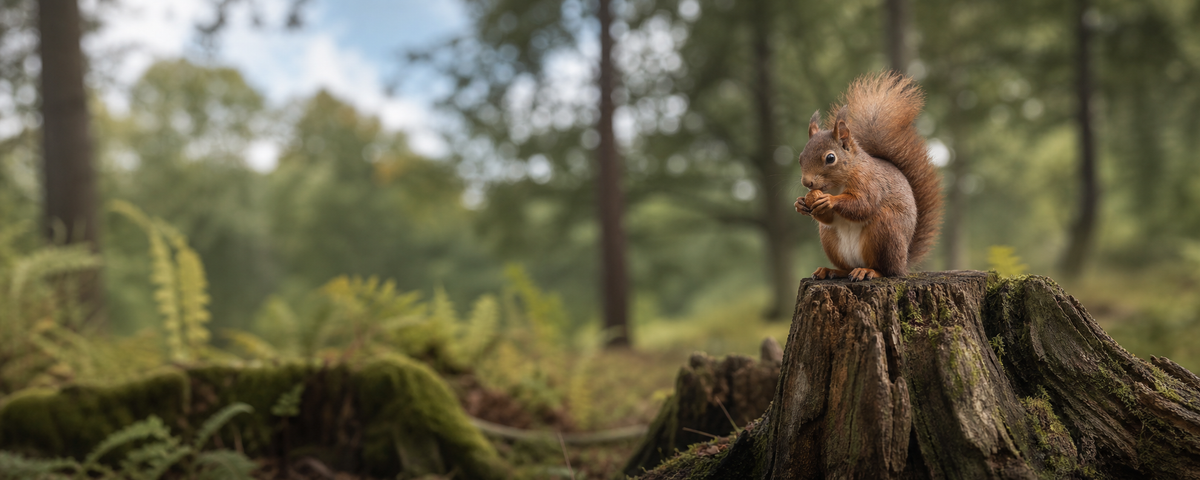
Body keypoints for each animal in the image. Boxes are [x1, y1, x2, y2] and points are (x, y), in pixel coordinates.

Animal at [794, 71, 943, 281]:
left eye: (830, 158)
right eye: (800, 158)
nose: (807, 182)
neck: (837, 184)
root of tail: (904, 262)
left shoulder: (869, 181)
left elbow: (864, 204)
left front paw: (829, 200)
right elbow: (829, 218)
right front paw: (800, 204)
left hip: (885, 232)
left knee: (886, 270)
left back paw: (868, 271)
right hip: (830, 239)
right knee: (847, 267)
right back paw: (831, 271)